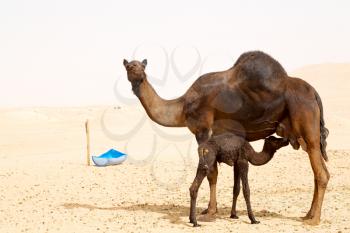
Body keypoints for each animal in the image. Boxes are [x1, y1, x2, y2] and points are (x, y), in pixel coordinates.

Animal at [123, 51, 330, 226]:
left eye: (141, 65)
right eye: (129, 66)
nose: (137, 72)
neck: (182, 107)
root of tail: (314, 93)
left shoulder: (203, 130)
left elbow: (212, 173)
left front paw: (210, 211)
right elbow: (218, 174)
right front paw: (214, 210)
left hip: (307, 124)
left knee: (321, 173)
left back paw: (314, 220)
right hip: (302, 136)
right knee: (319, 172)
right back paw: (308, 214)